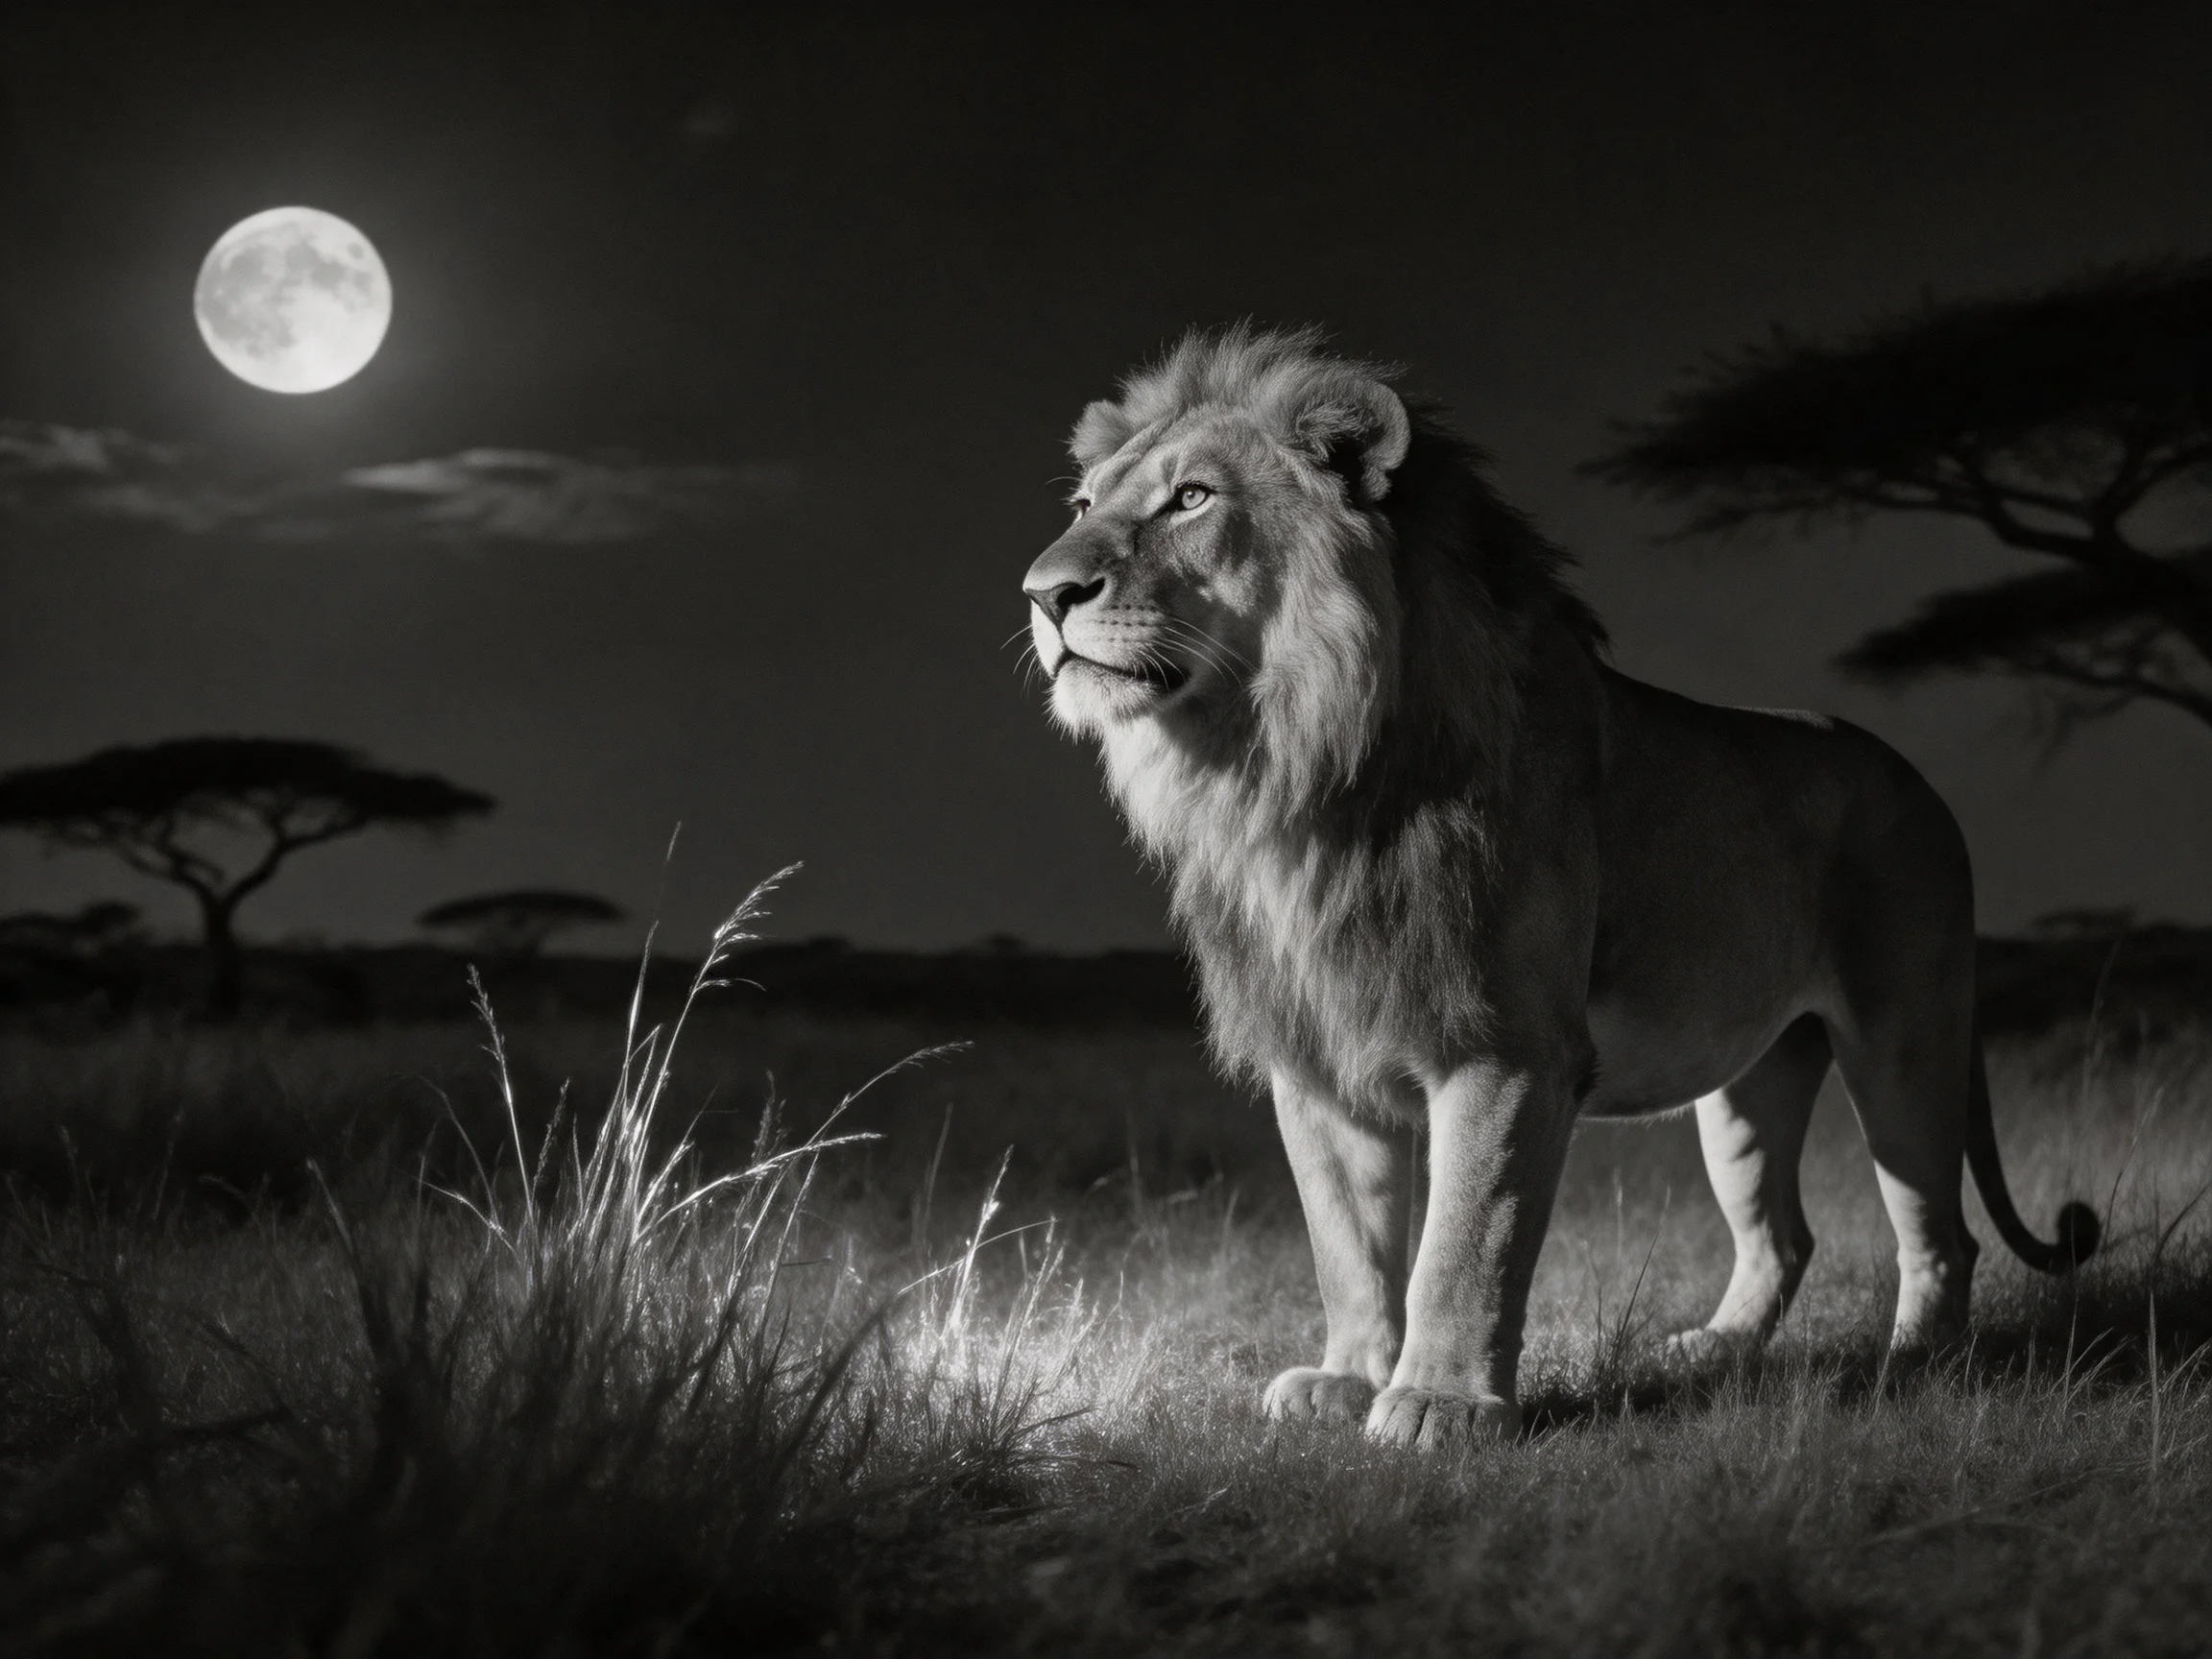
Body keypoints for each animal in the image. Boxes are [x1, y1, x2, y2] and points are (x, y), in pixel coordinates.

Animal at [1021, 326, 2099, 1449]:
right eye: (1083, 505)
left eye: (1191, 498)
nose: (1043, 593)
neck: (1294, 773)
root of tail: (1922, 784)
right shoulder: (1318, 1055)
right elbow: (1347, 1242)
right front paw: (1346, 1378)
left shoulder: (1505, 1051)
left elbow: (1463, 1247)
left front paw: (1438, 1405)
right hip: (1747, 1081)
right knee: (1786, 1235)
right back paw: (1718, 1351)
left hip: (1906, 1037)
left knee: (1940, 1228)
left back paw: (1919, 1364)